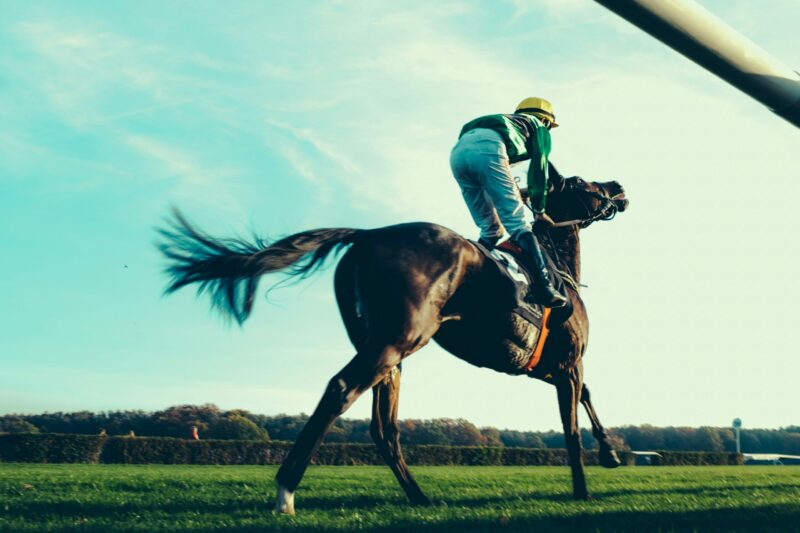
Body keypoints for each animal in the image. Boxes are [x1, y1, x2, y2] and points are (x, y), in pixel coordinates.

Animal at [157, 173, 629, 514]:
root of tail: (366, 235)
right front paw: (585, 487)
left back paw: (418, 496)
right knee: (341, 391)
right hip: (397, 340)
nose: (618, 188)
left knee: (384, 427)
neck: (556, 266)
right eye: (585, 184)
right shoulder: (568, 363)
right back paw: (286, 492)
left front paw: (611, 452)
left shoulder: (545, 368)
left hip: (388, 351)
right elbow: (571, 425)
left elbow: (585, 397)